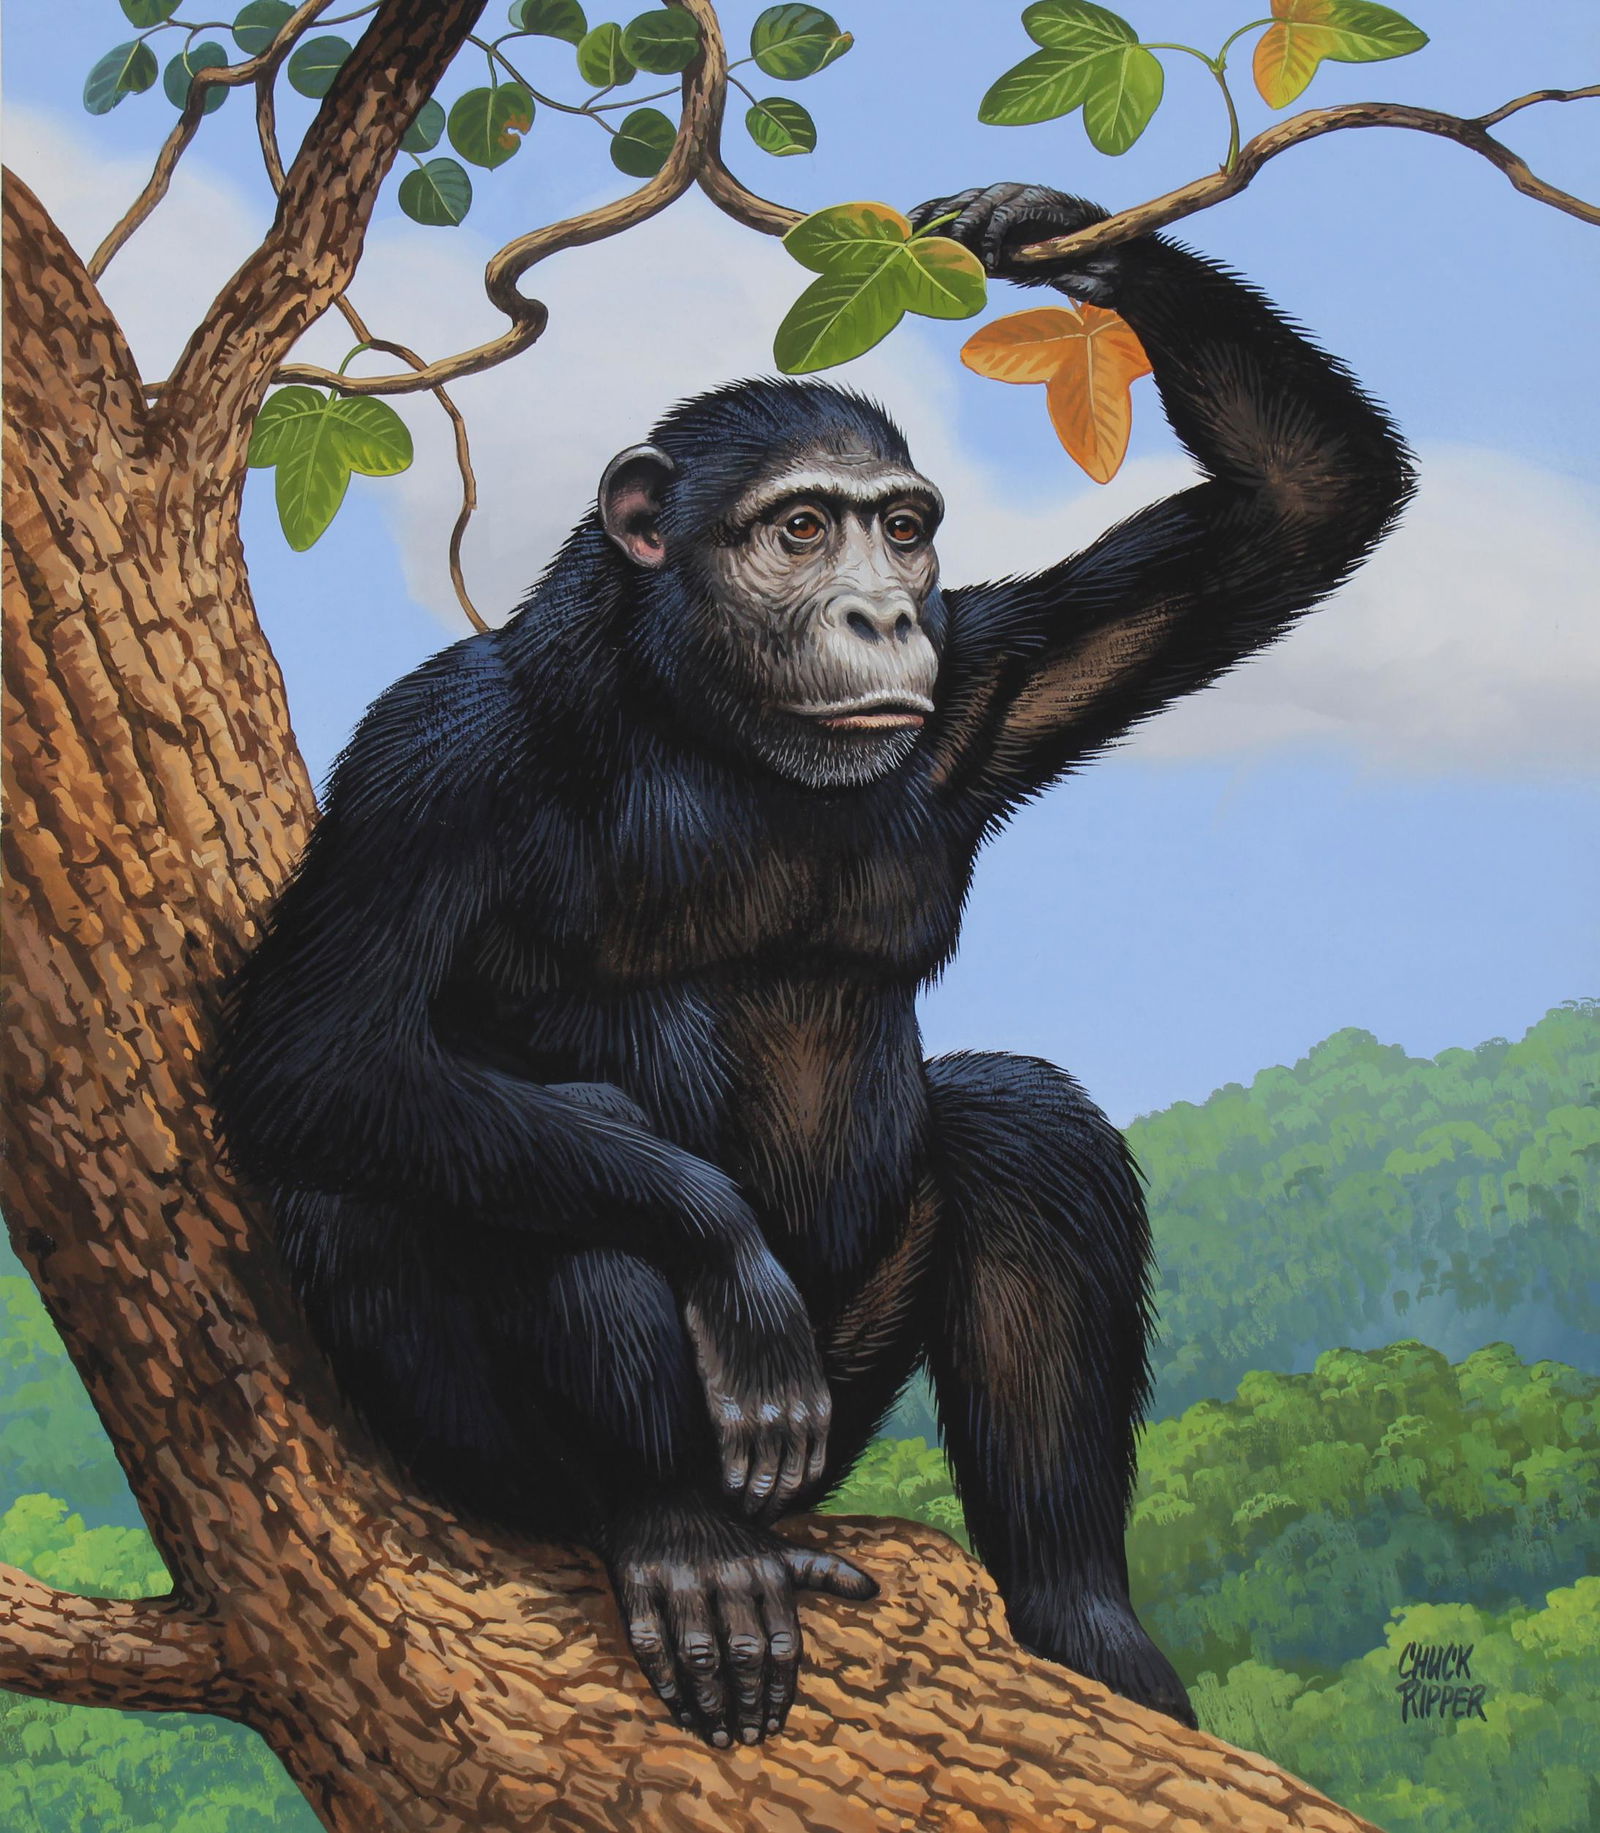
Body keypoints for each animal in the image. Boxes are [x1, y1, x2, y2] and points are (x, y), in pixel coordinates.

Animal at [213, 183, 1413, 1747]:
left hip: (843, 1403)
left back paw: (1083, 1626)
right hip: (513, 1459)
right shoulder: (436, 751)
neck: (695, 726)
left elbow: (1302, 503)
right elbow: (316, 1051)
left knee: (1019, 1122)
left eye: (900, 530)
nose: (881, 611)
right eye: (797, 527)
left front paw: (1047, 228)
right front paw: (717, 1236)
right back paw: (681, 1533)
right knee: (515, 1157)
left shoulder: (987, 673)